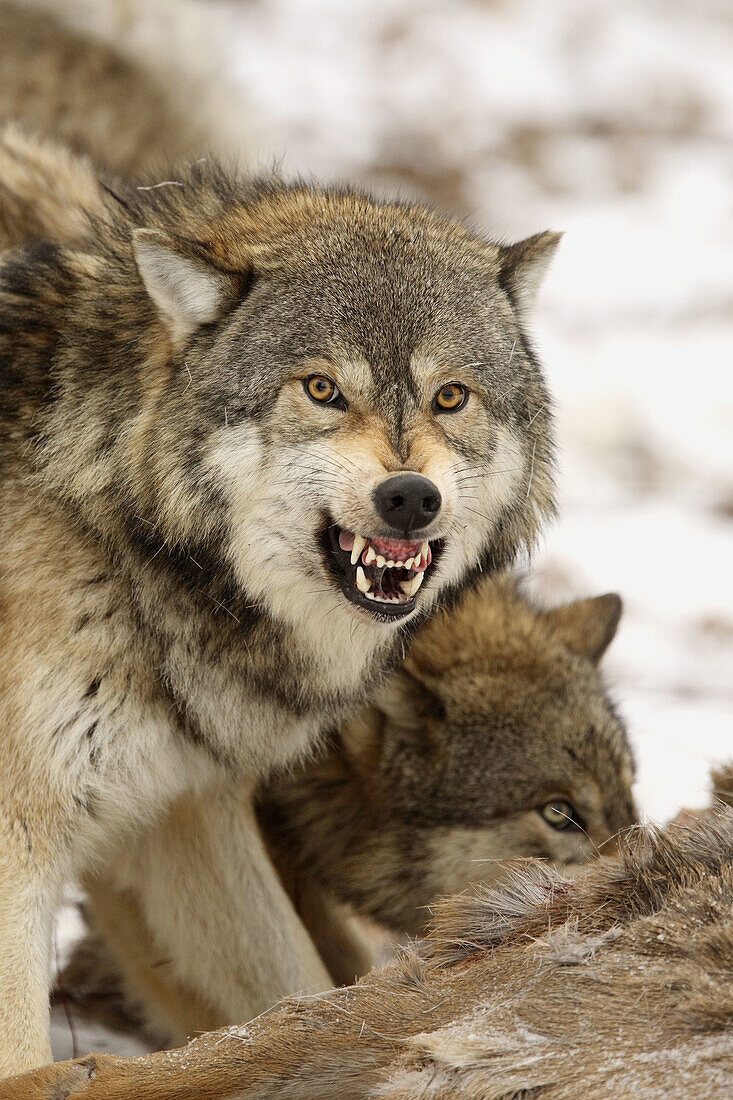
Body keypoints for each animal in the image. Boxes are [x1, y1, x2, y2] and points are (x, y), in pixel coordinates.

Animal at [0, 122, 556, 1073]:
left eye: (450, 396)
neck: (114, 529)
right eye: (322, 388)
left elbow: (290, 985)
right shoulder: (20, 840)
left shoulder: (180, 808)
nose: (409, 498)